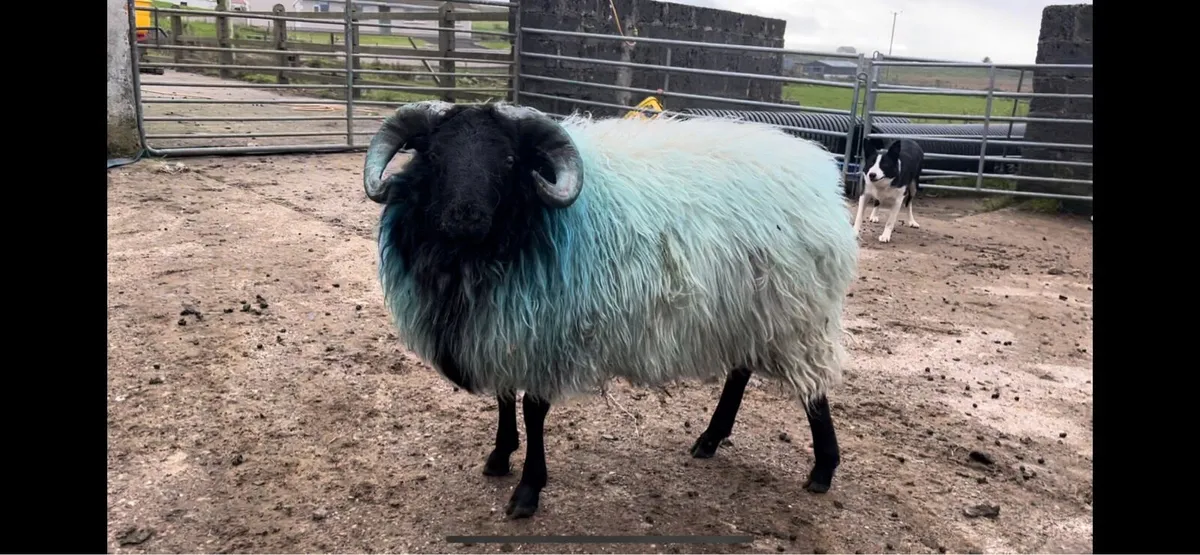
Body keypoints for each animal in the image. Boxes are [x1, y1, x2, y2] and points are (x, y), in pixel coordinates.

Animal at [361, 100, 859, 519]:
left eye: (508, 161)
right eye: (433, 156)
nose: (464, 217)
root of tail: (818, 176)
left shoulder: (545, 334)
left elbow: (533, 411)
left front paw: (528, 490)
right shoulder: (503, 326)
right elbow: (504, 399)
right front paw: (500, 456)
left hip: (796, 315)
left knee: (814, 389)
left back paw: (823, 469)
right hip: (749, 310)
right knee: (740, 372)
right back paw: (710, 439)